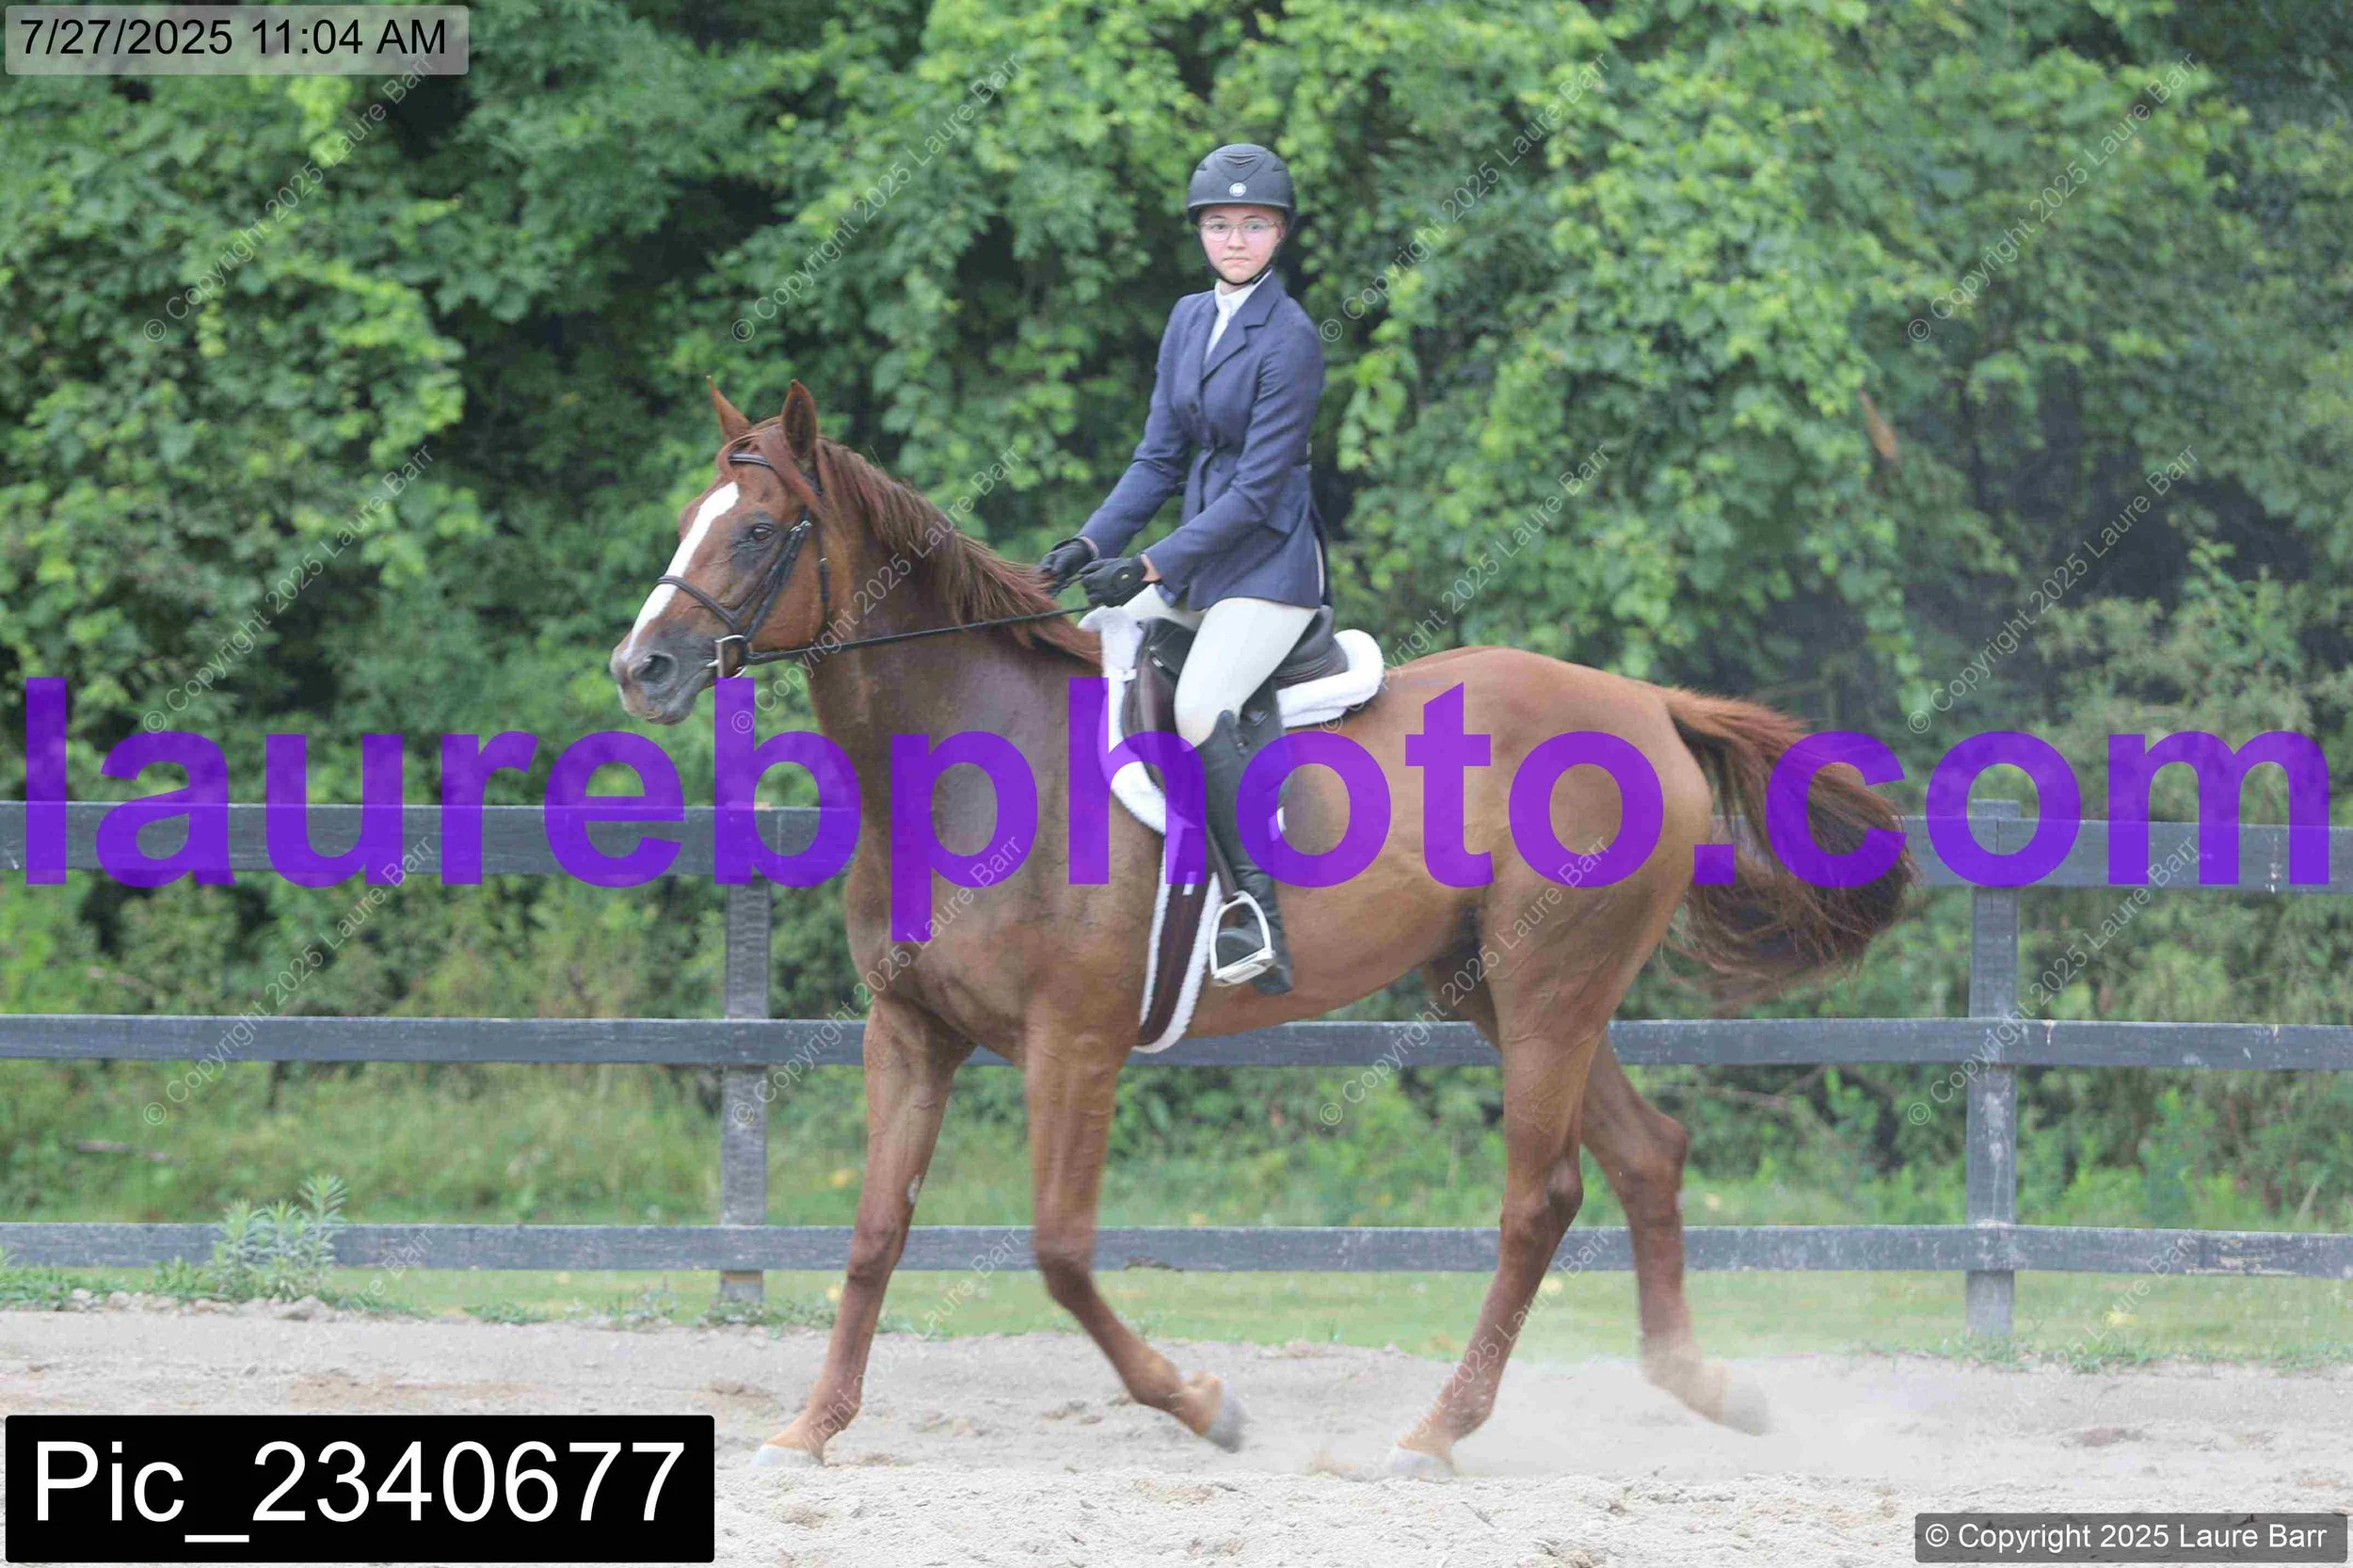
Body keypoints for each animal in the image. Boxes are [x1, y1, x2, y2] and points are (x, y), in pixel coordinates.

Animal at [610, 381, 1915, 1475]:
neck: (967, 763)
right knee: (1648, 1154)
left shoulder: (1074, 1044)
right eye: (686, 517)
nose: (641, 668)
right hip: (1499, 990)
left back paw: (1436, 1430)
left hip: (1550, 988)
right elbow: (876, 1231)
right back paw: (1710, 1390)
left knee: (1537, 1198)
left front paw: (1203, 1404)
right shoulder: (911, 1029)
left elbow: (1061, 1251)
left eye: (760, 531)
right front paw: (811, 1427)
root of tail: (1646, 704)